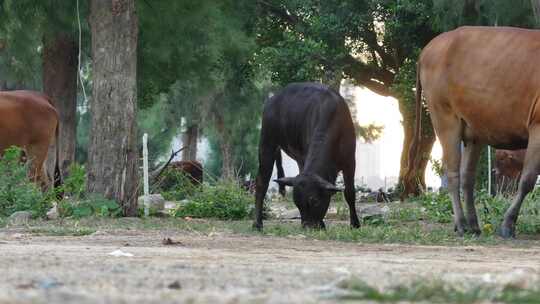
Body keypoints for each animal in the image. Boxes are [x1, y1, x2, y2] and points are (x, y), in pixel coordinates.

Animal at [253, 82, 358, 229]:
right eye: (298, 204)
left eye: (315, 201)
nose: (308, 226)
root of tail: (272, 100)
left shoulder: (350, 161)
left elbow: (349, 192)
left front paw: (355, 224)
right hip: (267, 143)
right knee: (261, 182)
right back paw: (257, 223)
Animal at [408, 26, 540, 238]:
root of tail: (429, 47)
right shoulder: (537, 125)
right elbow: (527, 180)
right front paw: (508, 224)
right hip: (445, 118)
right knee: (452, 173)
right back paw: (461, 223)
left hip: (474, 132)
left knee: (467, 177)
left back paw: (473, 224)